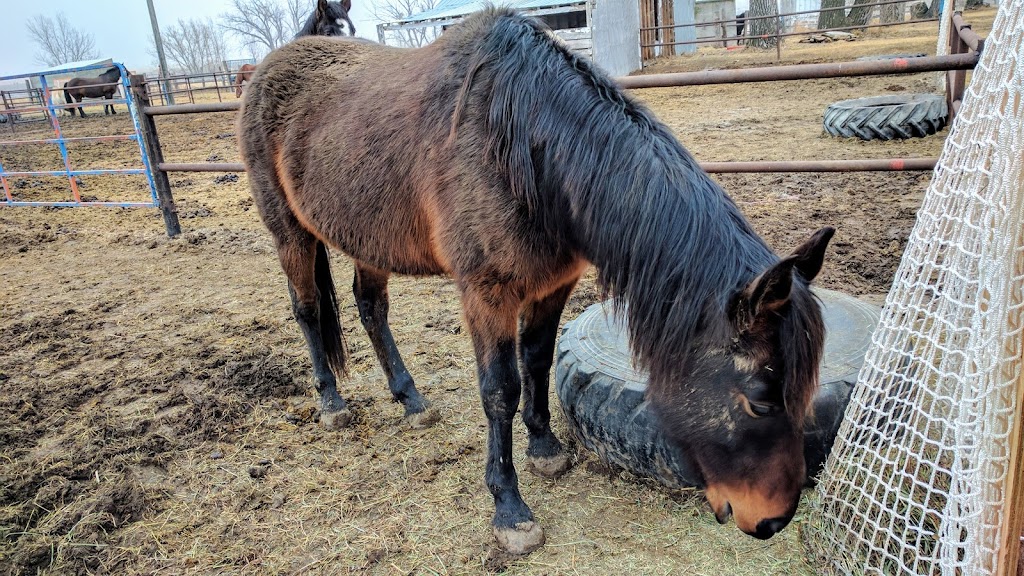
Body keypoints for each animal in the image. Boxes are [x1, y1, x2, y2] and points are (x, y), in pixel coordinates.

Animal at [237, 7, 831, 553]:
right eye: (758, 401)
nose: (773, 521)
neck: (528, 148)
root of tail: (265, 69)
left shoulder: (551, 286)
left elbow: (538, 363)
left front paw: (544, 448)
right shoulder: (487, 293)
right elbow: (500, 389)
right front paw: (510, 509)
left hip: (369, 236)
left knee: (370, 309)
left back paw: (411, 401)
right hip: (290, 233)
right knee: (309, 309)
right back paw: (332, 404)